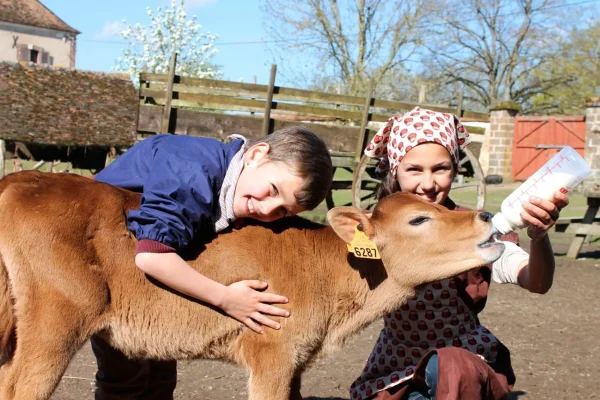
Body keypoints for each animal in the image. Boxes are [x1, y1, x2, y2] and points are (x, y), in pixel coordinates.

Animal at [0, 172, 504, 400]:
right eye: (418, 219)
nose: (486, 215)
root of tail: (20, 179)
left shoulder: (296, 361)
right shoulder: (272, 356)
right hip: (56, 324)